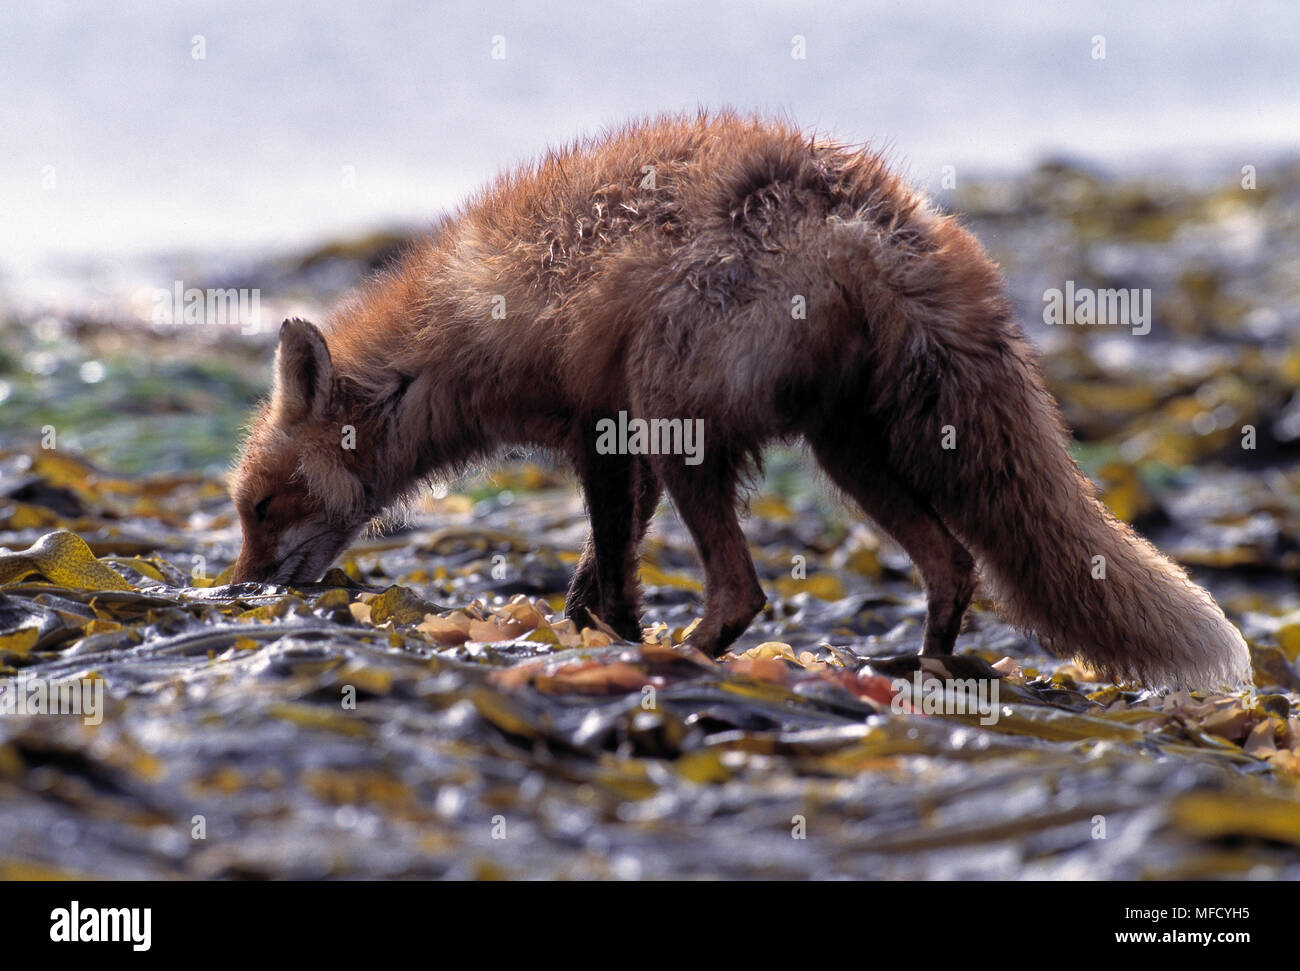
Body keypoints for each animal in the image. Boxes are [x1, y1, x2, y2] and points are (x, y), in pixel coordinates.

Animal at [229, 111, 1252, 692]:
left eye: (263, 506)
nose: (238, 592)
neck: (452, 330)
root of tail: (874, 213)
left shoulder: (606, 428)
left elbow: (612, 576)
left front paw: (611, 641)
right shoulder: (617, 442)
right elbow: (599, 575)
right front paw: (585, 628)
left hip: (689, 425)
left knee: (744, 590)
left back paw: (683, 660)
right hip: (849, 452)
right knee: (953, 564)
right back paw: (927, 671)